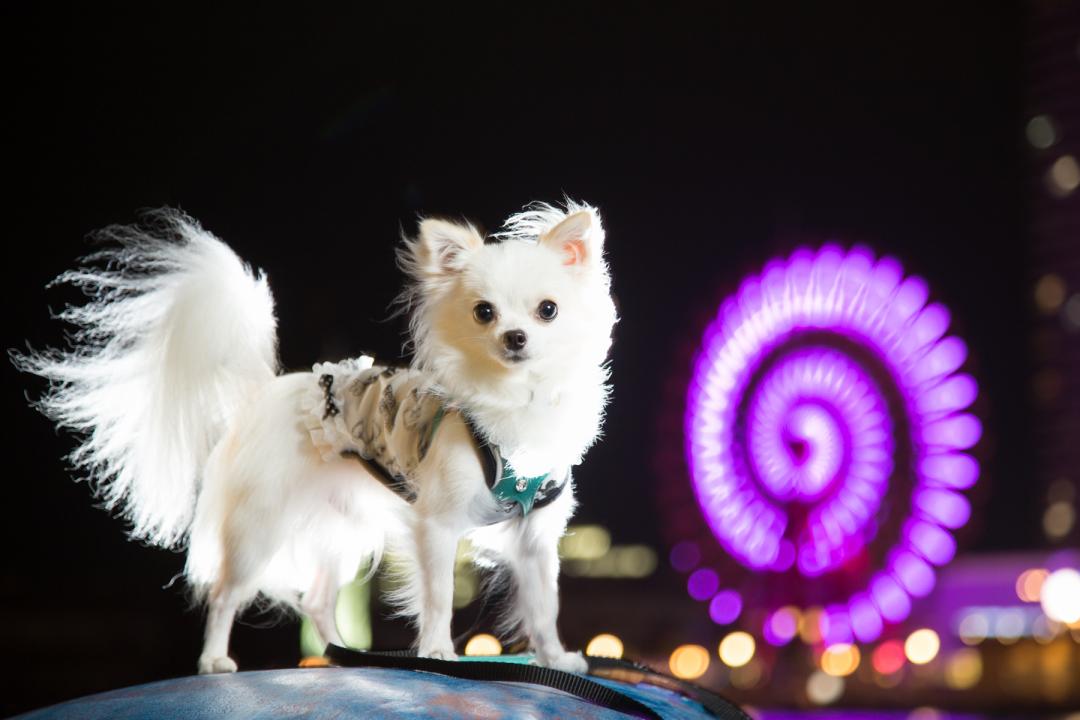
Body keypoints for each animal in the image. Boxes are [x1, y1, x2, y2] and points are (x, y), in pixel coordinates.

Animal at [19, 201, 617, 677]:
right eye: (483, 313)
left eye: (548, 311)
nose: (514, 337)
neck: (517, 402)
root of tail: (265, 393)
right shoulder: (438, 525)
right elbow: (440, 595)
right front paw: (437, 652)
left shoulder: (536, 538)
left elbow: (544, 606)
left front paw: (555, 658)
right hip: (260, 530)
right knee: (226, 595)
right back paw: (215, 659)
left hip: (342, 534)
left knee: (318, 601)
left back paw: (338, 654)